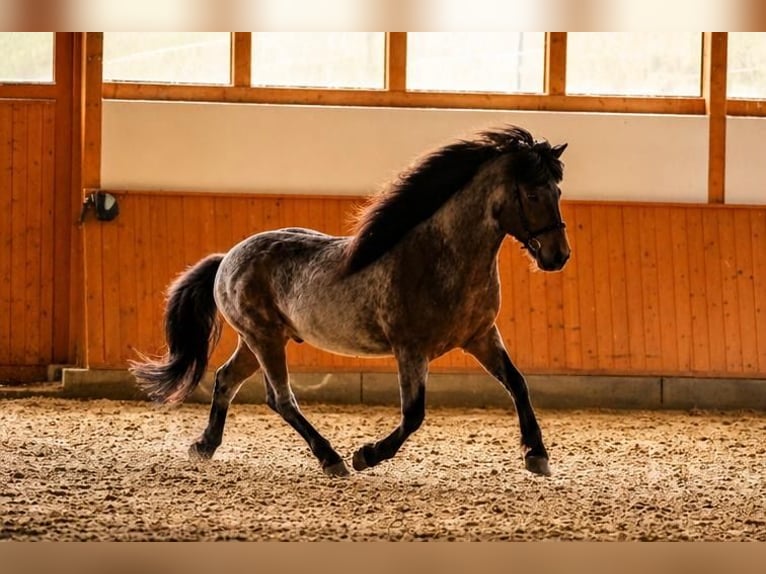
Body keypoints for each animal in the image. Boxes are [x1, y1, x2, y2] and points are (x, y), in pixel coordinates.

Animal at [130, 125, 570, 478]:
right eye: (534, 193)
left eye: (558, 191)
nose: (558, 256)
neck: (442, 257)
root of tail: (227, 258)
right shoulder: (411, 350)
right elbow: (413, 415)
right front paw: (367, 455)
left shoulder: (480, 336)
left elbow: (517, 383)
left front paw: (537, 455)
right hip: (263, 338)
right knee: (281, 398)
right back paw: (332, 459)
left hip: (259, 341)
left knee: (225, 380)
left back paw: (204, 446)